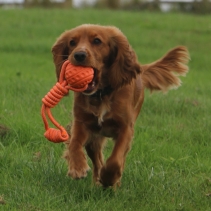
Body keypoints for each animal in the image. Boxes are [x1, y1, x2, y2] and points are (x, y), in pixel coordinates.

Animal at [51, 23, 190, 187]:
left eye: (97, 41)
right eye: (72, 42)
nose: (79, 55)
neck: (102, 94)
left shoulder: (126, 128)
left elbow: (116, 160)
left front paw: (109, 178)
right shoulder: (82, 123)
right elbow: (74, 143)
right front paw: (77, 167)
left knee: (117, 160)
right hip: (94, 138)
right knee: (97, 160)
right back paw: (97, 181)